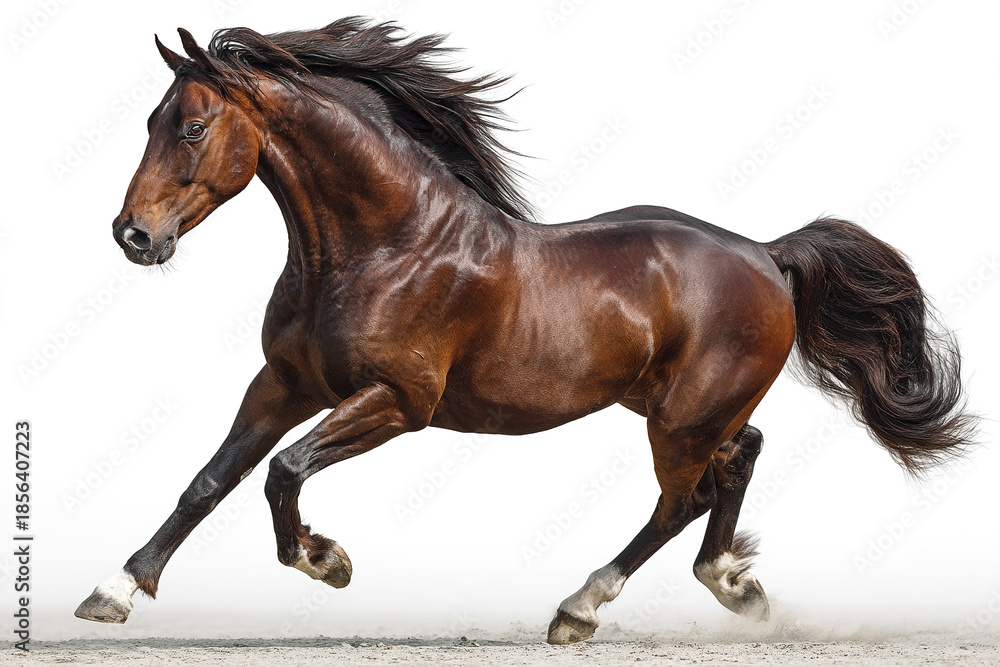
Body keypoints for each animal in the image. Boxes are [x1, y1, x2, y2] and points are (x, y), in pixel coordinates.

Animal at [75, 18, 974, 644]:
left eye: (192, 127)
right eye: (150, 119)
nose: (132, 236)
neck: (384, 244)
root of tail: (766, 253)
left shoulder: (398, 401)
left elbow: (283, 471)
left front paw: (326, 560)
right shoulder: (284, 384)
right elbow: (209, 480)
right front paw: (114, 591)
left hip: (680, 417)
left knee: (684, 497)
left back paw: (581, 607)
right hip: (673, 405)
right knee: (738, 458)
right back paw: (731, 582)